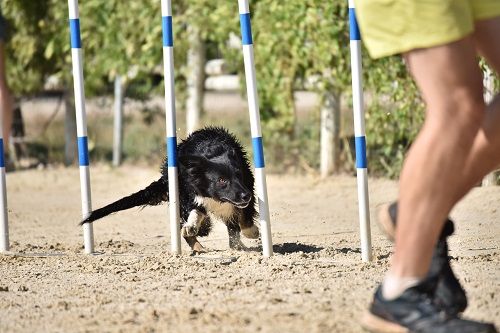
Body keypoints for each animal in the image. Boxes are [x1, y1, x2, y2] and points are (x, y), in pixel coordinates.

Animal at [80, 127, 260, 252]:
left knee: (232, 228)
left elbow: (245, 215)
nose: (245, 196)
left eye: (239, 175)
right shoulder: (188, 193)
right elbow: (196, 212)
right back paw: (198, 244)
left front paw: (251, 231)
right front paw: (192, 226)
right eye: (222, 180)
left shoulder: (248, 185)